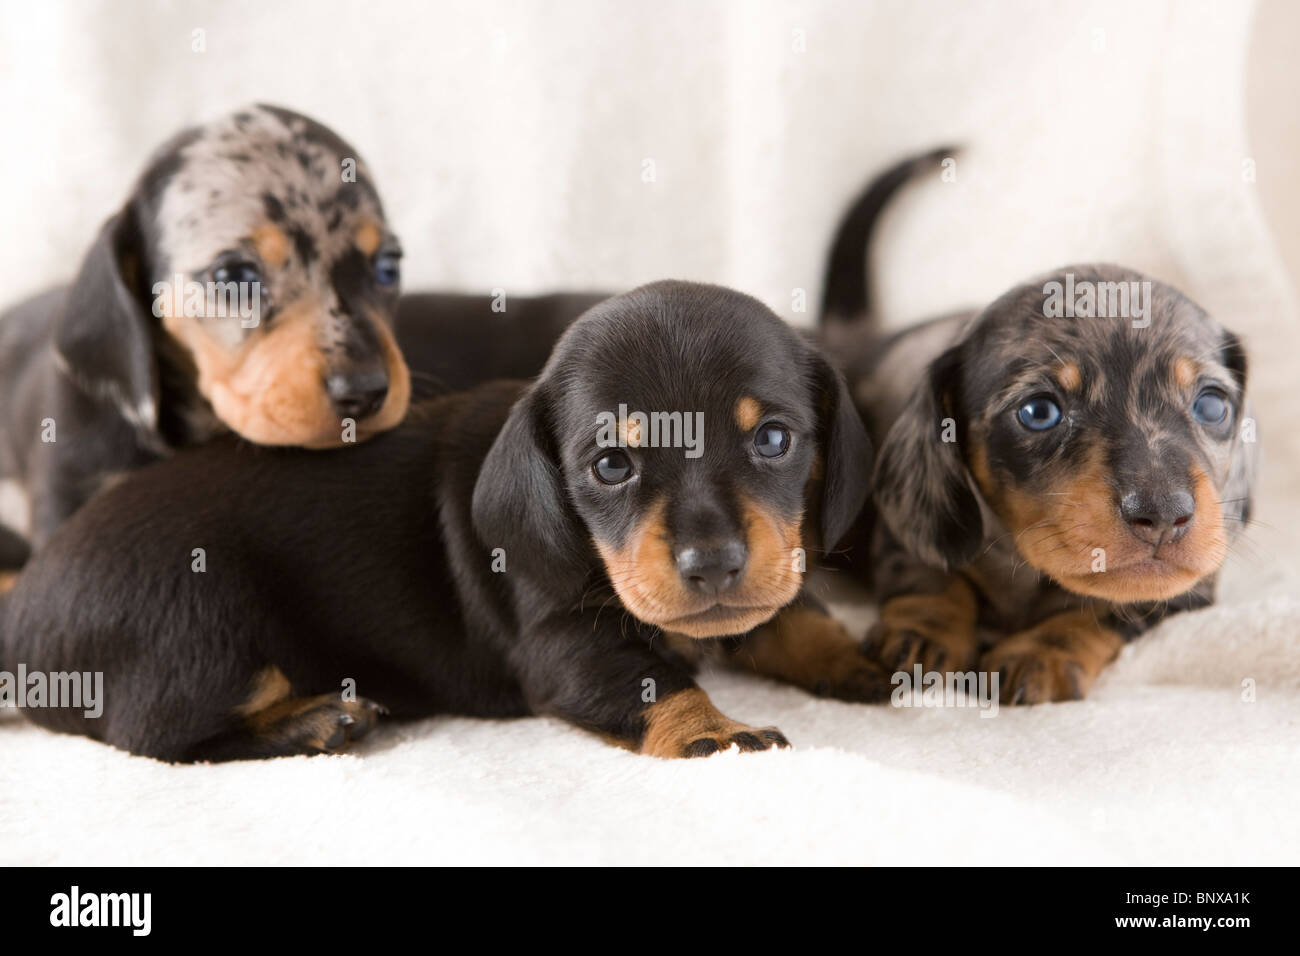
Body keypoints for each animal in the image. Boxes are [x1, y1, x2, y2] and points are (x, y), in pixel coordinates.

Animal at [0, 278, 889, 764]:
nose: (711, 565)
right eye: (611, 466)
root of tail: (20, 615)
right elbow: (656, 684)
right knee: (166, 740)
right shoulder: (563, 648)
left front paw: (852, 657)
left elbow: (789, 613)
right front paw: (715, 733)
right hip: (204, 634)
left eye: (773, 439)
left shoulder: (764, 577)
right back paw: (316, 721)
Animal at [816, 167, 1253, 697]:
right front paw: (924, 628)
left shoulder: (1190, 588)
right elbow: (932, 575)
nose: (1164, 514)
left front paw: (1040, 653)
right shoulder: (907, 528)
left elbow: (1106, 609)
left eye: (1212, 405)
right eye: (1039, 412)